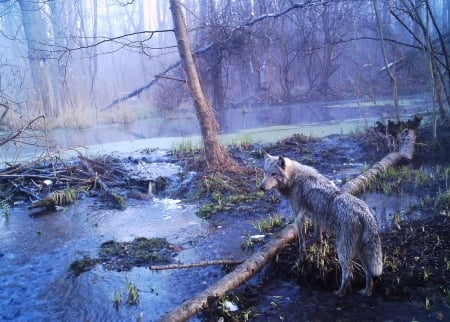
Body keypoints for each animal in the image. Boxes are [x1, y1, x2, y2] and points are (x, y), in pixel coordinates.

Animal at [260, 153, 384, 296]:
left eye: (273, 174)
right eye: (265, 172)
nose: (261, 187)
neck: (294, 179)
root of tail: (364, 213)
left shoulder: (299, 218)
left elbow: (302, 244)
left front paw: (301, 261)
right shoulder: (316, 218)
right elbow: (317, 239)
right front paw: (318, 259)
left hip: (343, 251)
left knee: (348, 275)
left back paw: (338, 294)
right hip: (360, 252)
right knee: (369, 274)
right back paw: (366, 293)